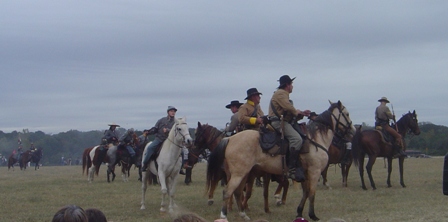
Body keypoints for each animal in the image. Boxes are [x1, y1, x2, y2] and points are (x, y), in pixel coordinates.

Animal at [205, 100, 356, 220]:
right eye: (347, 114)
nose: (353, 131)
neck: (316, 139)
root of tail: (229, 138)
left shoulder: (306, 174)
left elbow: (306, 192)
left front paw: (299, 212)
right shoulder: (315, 171)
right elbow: (312, 193)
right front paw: (313, 215)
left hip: (245, 174)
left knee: (237, 192)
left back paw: (243, 215)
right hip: (239, 173)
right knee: (227, 191)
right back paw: (224, 215)